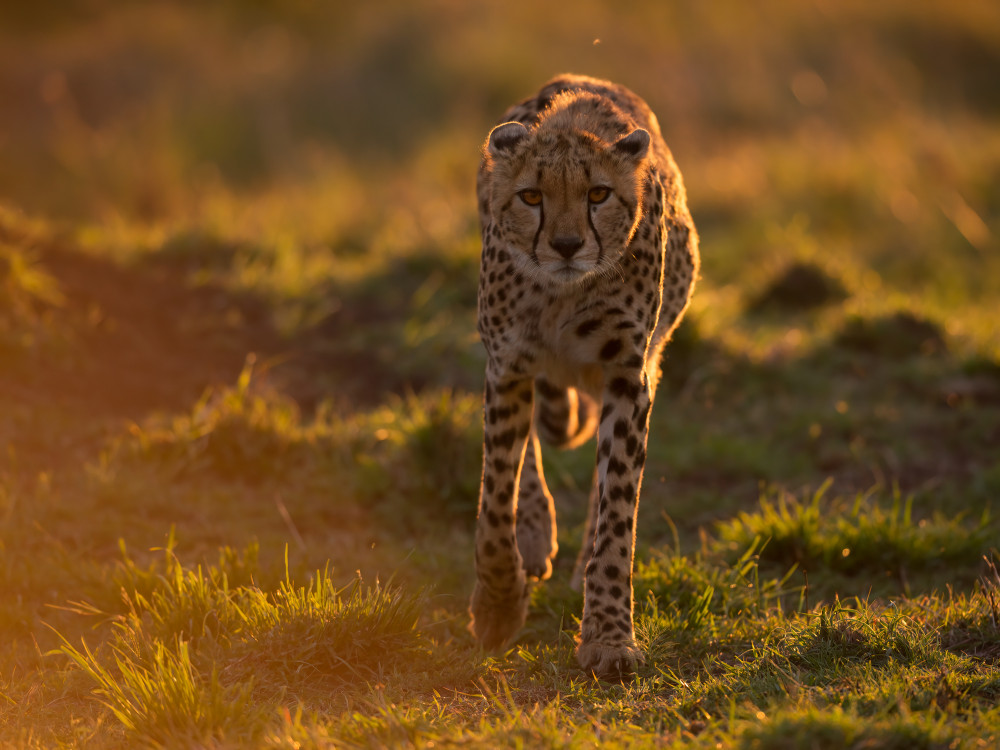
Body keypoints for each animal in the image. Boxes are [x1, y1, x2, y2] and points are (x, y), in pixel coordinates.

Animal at [470, 76, 700, 680]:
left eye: (598, 195)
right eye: (531, 197)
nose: (568, 246)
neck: (563, 293)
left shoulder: (627, 374)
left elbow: (618, 508)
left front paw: (609, 634)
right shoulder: (507, 361)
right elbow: (495, 493)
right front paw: (499, 604)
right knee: (532, 445)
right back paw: (534, 537)